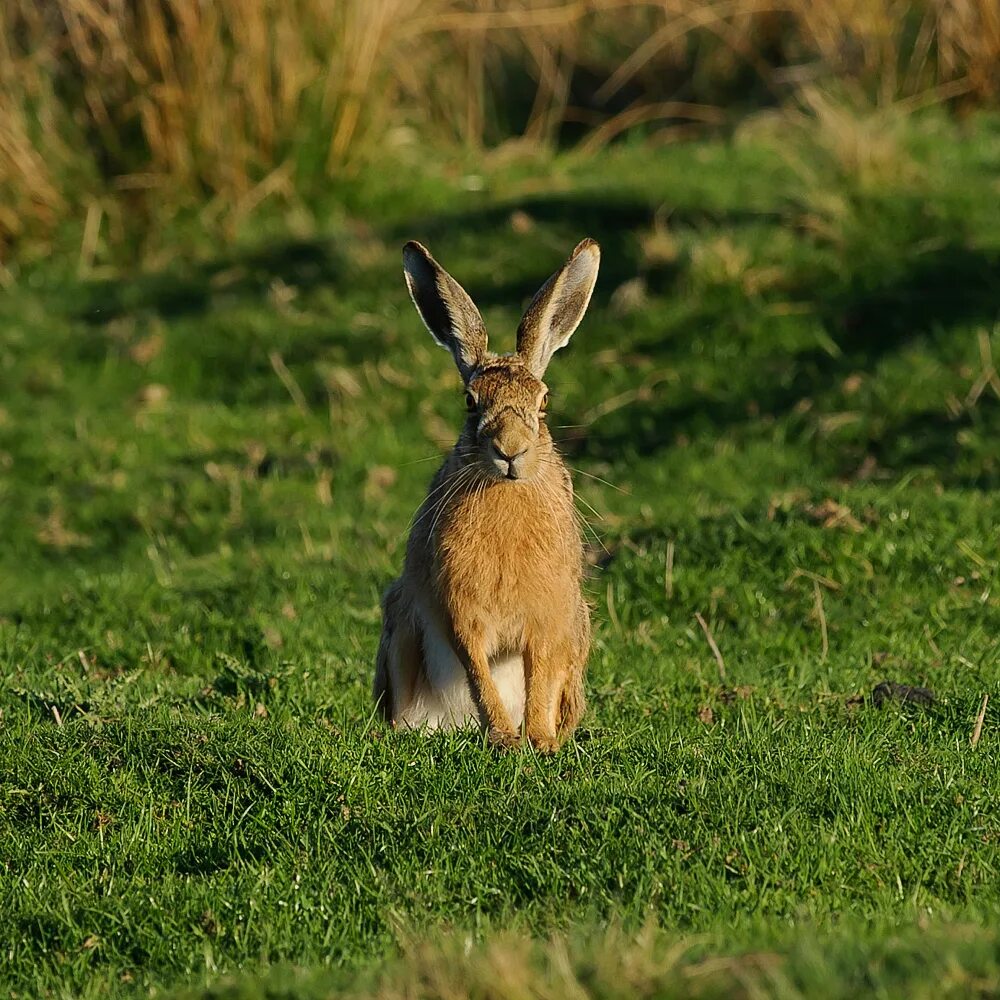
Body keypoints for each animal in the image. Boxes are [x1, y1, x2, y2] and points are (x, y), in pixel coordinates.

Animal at [373, 238, 600, 752]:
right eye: (470, 402)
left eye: (544, 401)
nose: (511, 450)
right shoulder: (458, 612)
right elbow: (477, 671)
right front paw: (503, 737)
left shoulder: (550, 619)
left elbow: (541, 677)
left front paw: (538, 741)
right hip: (401, 623)